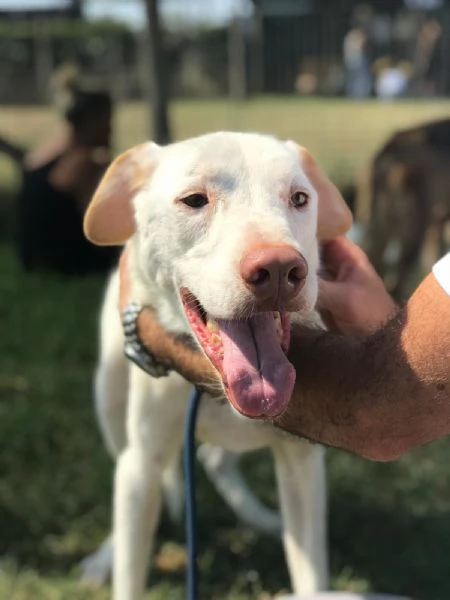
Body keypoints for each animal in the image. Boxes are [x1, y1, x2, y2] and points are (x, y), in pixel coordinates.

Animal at [82, 132, 352, 600]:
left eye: (299, 198)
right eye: (194, 200)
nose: (279, 268)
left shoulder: (302, 463)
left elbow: (311, 574)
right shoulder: (142, 466)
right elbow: (130, 574)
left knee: (215, 458)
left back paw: (259, 517)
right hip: (110, 400)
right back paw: (104, 558)